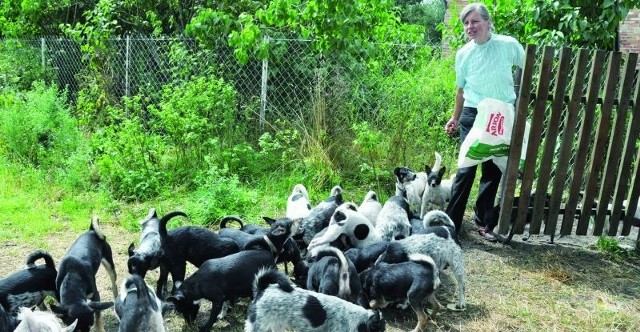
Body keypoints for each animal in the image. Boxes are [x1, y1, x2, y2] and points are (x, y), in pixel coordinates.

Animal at [169, 218, 302, 332]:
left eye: (183, 309)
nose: (188, 324)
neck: (197, 283)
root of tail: (267, 252)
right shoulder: (225, 294)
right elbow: (225, 305)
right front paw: (223, 315)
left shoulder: (217, 299)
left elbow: (212, 317)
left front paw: (206, 327)